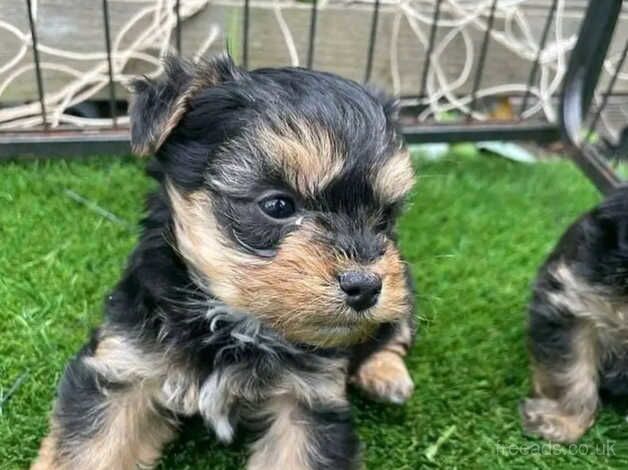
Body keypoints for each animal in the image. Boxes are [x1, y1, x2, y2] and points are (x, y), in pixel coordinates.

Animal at [33, 56, 418, 470]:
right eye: (277, 205)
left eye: (385, 217)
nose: (365, 286)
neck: (232, 323)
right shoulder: (125, 363)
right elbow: (90, 445)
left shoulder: (310, 399)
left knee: (395, 334)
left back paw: (386, 374)